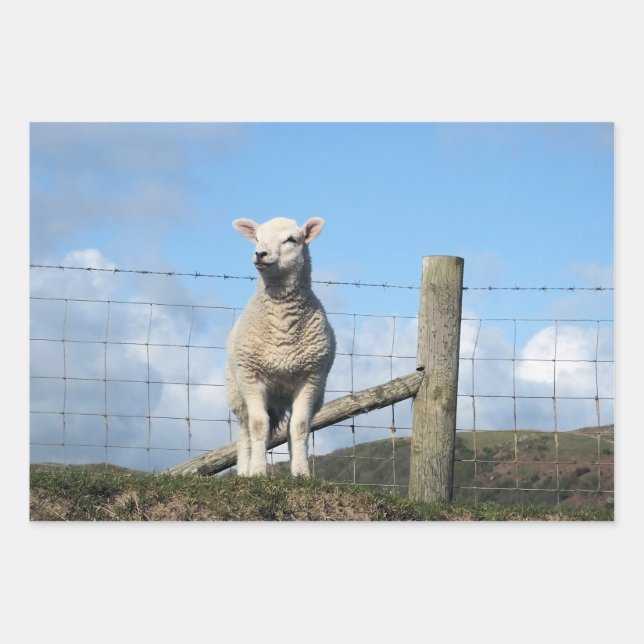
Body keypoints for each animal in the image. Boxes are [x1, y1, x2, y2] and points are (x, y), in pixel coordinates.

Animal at [225, 217, 336, 477]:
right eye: (257, 238)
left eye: (291, 240)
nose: (260, 253)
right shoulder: (251, 376)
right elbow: (258, 426)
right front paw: (257, 471)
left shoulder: (311, 378)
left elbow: (300, 427)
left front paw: (302, 473)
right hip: (237, 392)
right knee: (245, 432)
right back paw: (244, 471)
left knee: (289, 428)